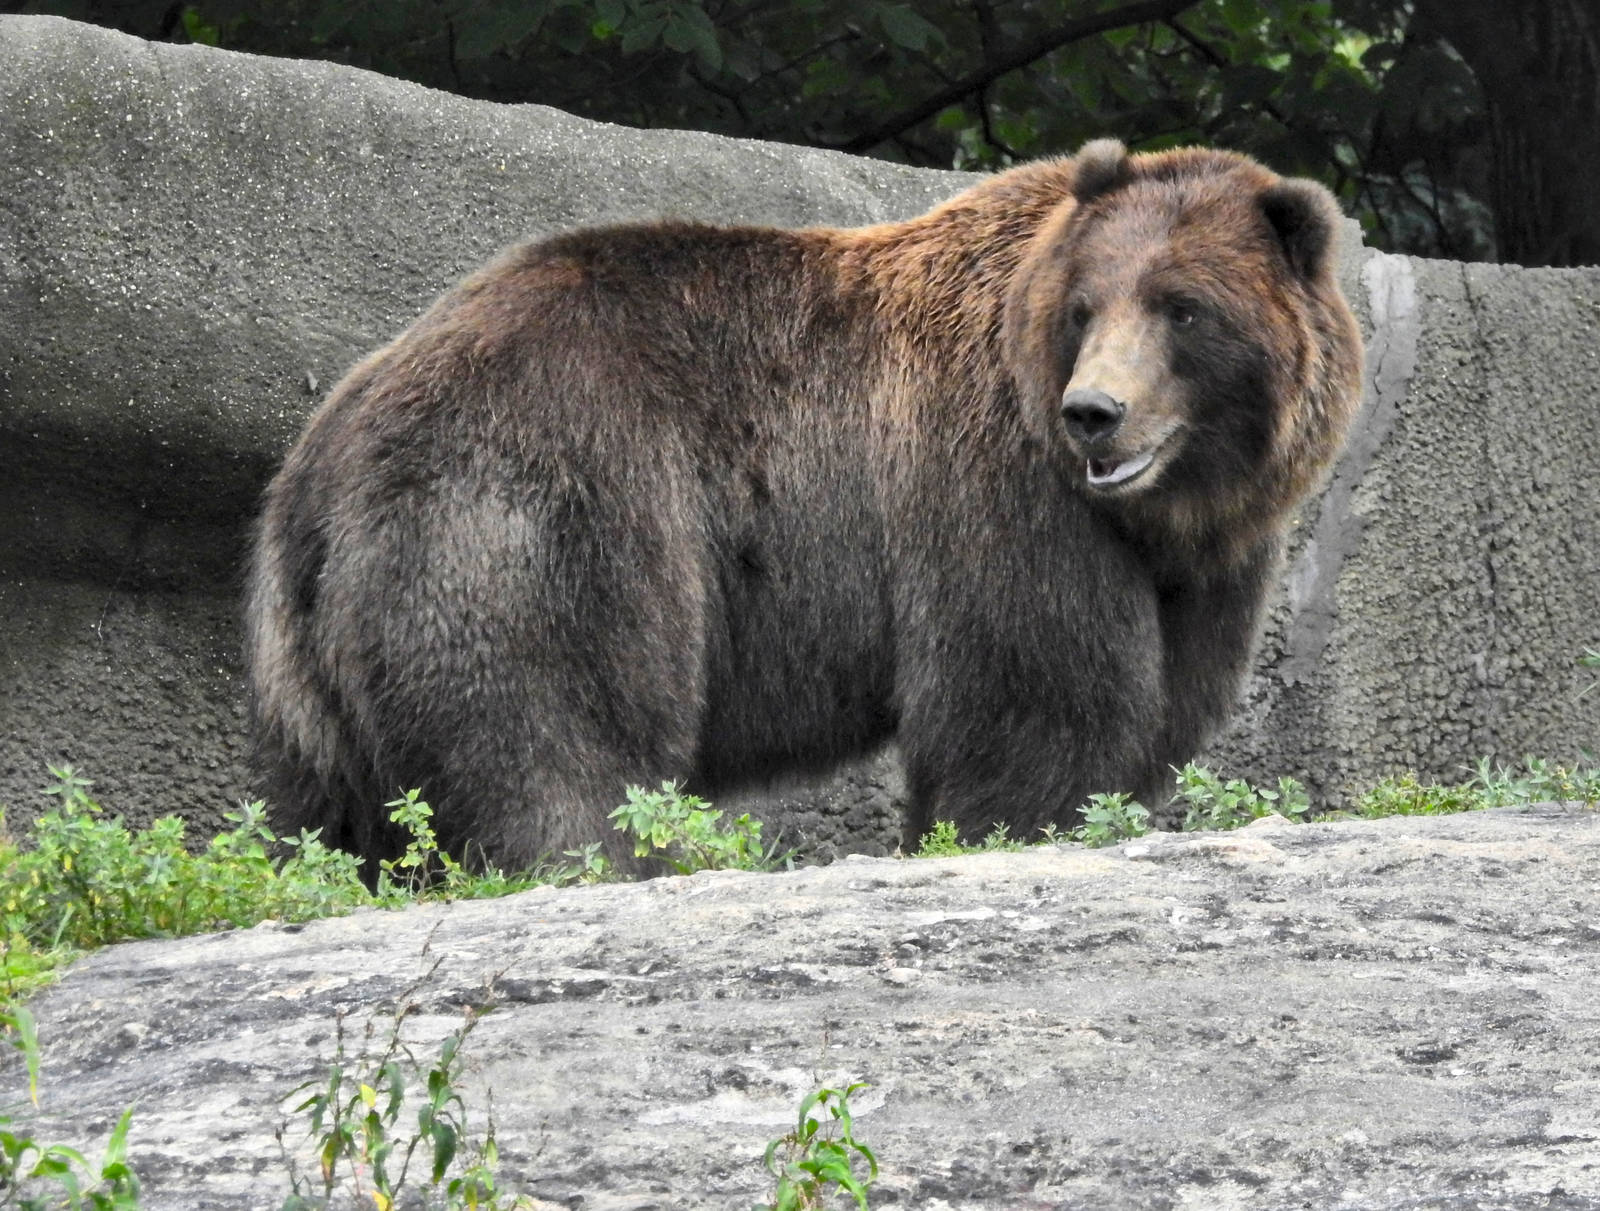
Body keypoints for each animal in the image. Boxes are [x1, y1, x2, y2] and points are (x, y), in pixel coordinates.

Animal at [244, 138, 1363, 875]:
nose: (1095, 413)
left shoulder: (1206, 567)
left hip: (314, 659)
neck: (1166, 513)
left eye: (1184, 308)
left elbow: (1160, 706)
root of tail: (322, 454)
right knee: (551, 738)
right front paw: (1007, 823)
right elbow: (1031, 699)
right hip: (542, 509)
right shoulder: (996, 487)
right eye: (1088, 307)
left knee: (325, 807)